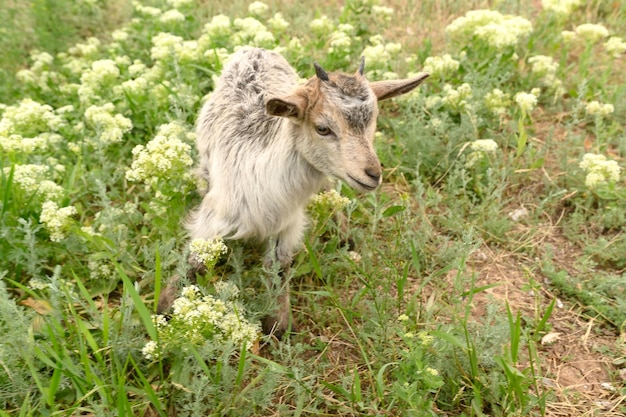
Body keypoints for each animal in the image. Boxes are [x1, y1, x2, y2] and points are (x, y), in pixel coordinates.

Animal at [178, 47, 426, 336]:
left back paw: (345, 238)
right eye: (322, 128)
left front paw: (278, 327)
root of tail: (255, 49)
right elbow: (193, 265)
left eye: (374, 120)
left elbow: (279, 270)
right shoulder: (211, 221)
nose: (373, 173)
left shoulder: (286, 228)